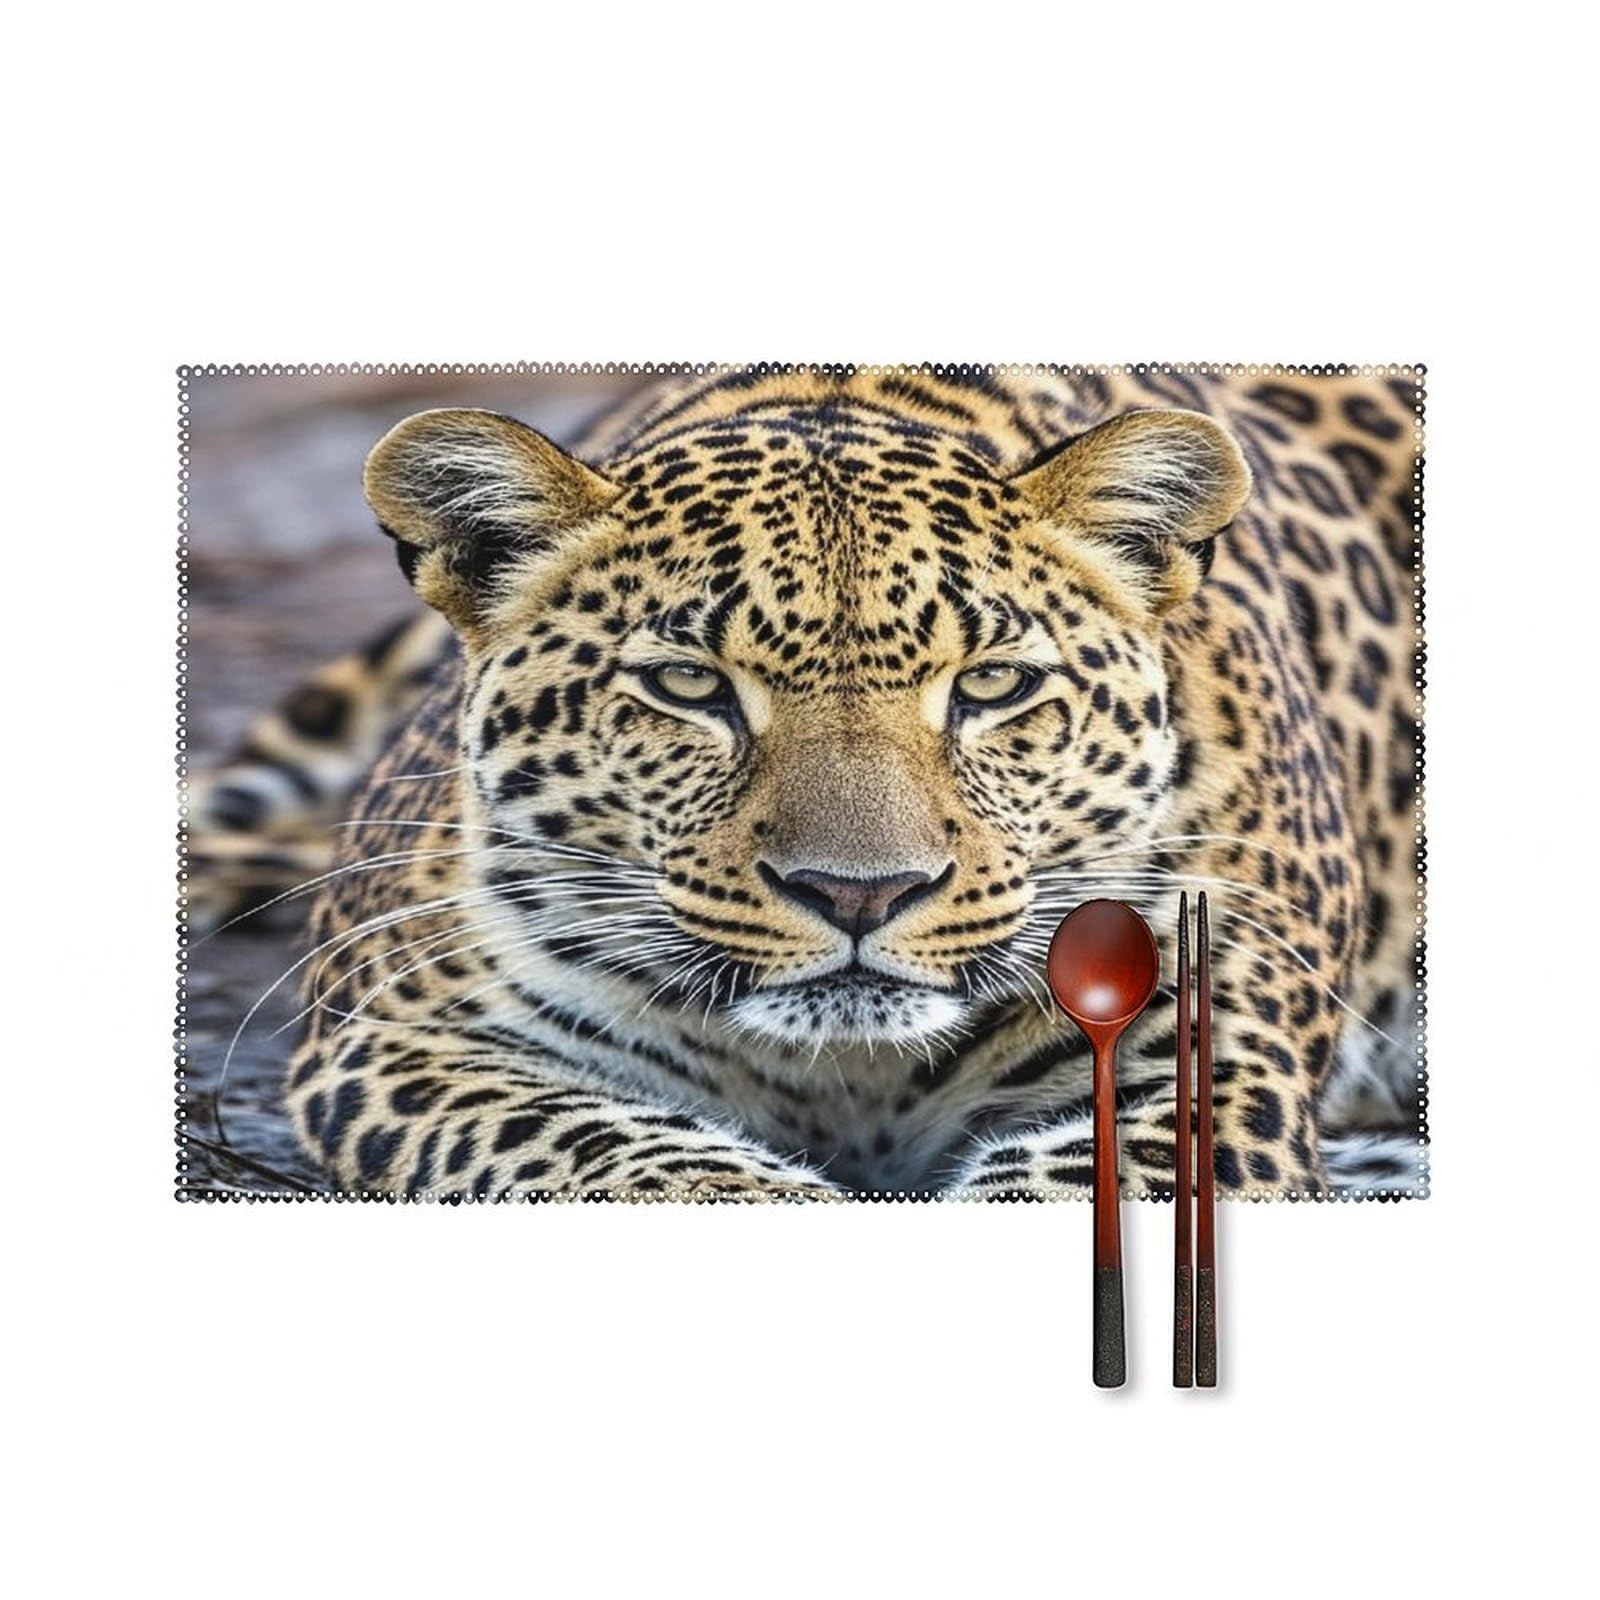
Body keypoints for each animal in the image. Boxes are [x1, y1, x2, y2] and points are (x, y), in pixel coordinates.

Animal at [188, 363, 1425, 1200]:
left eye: (991, 683)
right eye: (689, 683)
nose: (859, 894)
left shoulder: (1203, 1061)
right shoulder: (399, 1038)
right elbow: (635, 1159)